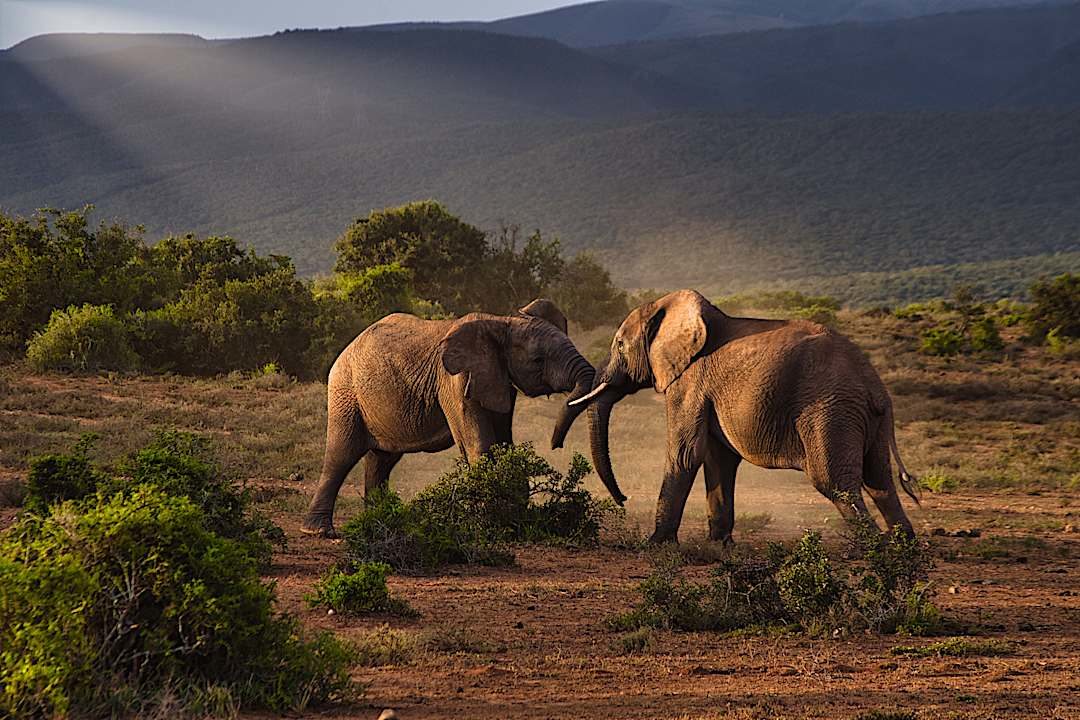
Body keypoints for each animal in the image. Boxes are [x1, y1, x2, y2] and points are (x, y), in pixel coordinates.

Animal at [302, 298, 595, 536]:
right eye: (537, 360)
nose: (556, 444)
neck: (502, 321)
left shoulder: (497, 379)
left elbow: (504, 444)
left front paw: (515, 521)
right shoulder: (454, 381)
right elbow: (479, 445)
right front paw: (491, 525)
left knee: (381, 460)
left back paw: (377, 523)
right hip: (345, 391)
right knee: (342, 453)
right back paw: (318, 531)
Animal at [570, 289, 919, 544]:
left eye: (619, 345)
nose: (623, 498)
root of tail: (876, 386)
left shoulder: (690, 382)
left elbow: (685, 455)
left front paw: (656, 545)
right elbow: (718, 458)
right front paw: (718, 546)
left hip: (830, 410)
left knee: (835, 481)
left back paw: (873, 551)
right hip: (862, 418)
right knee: (879, 480)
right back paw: (903, 547)